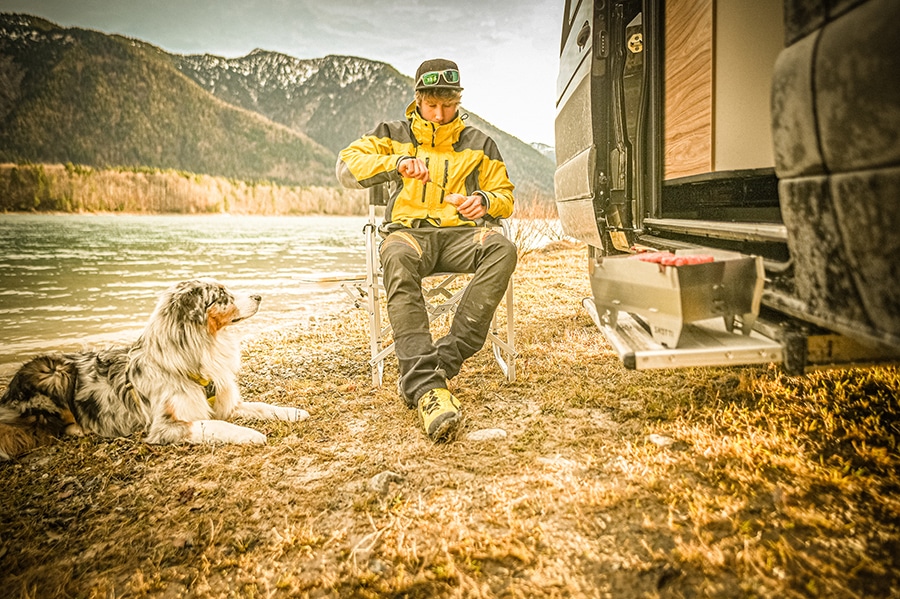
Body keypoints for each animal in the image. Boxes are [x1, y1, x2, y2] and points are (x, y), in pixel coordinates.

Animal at [0, 278, 306, 460]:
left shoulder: (223, 403)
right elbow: (215, 424)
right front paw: (250, 434)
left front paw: (293, 412)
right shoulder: (166, 425)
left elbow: (262, 406)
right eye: (221, 296)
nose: (259, 296)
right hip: (55, 372)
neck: (197, 353)